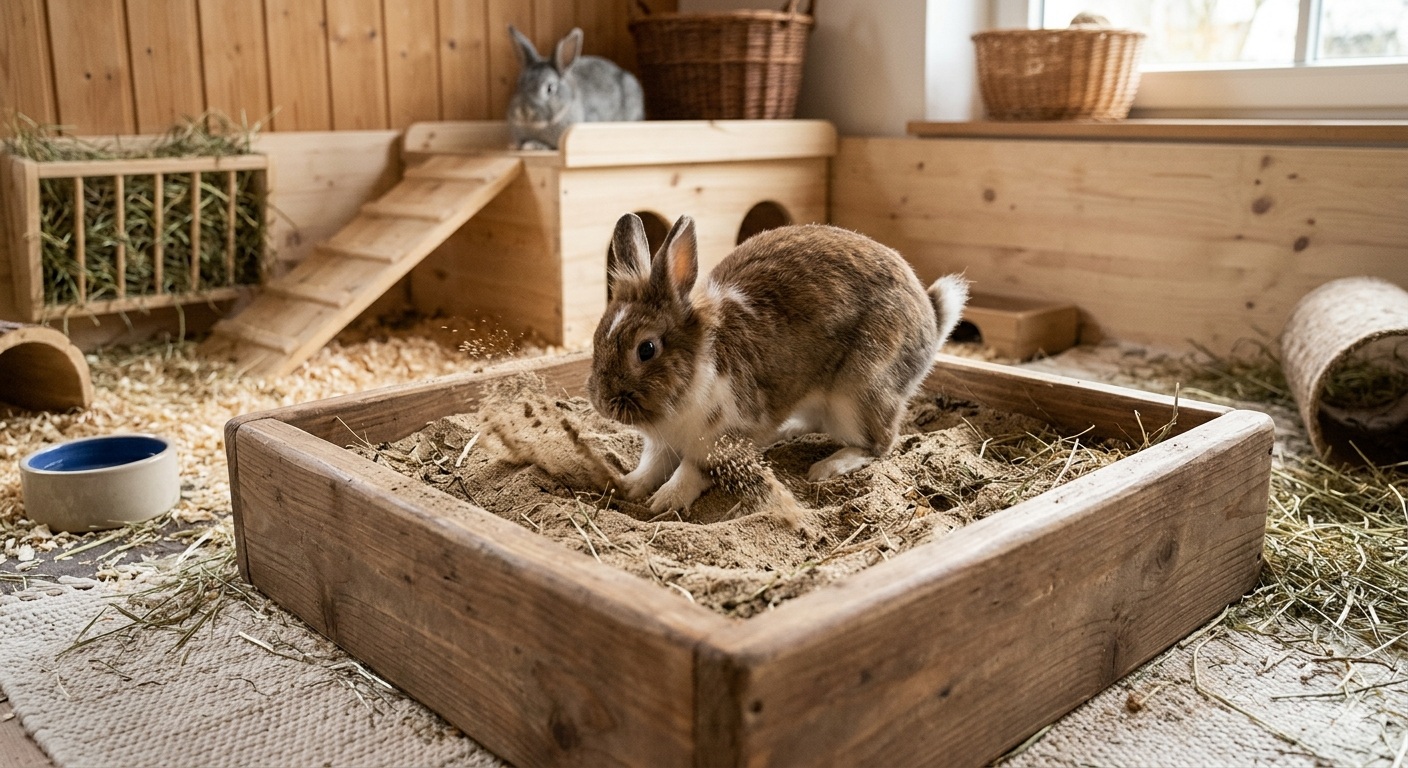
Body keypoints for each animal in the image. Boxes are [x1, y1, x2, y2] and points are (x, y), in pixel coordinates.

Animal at [586, 213, 970, 514]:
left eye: (646, 349)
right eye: (597, 334)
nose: (603, 402)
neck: (695, 371)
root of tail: (932, 320)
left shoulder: (723, 439)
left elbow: (692, 471)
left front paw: (665, 500)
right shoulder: (662, 445)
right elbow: (650, 467)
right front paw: (628, 486)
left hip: (860, 394)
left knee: (879, 444)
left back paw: (827, 467)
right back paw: (787, 432)